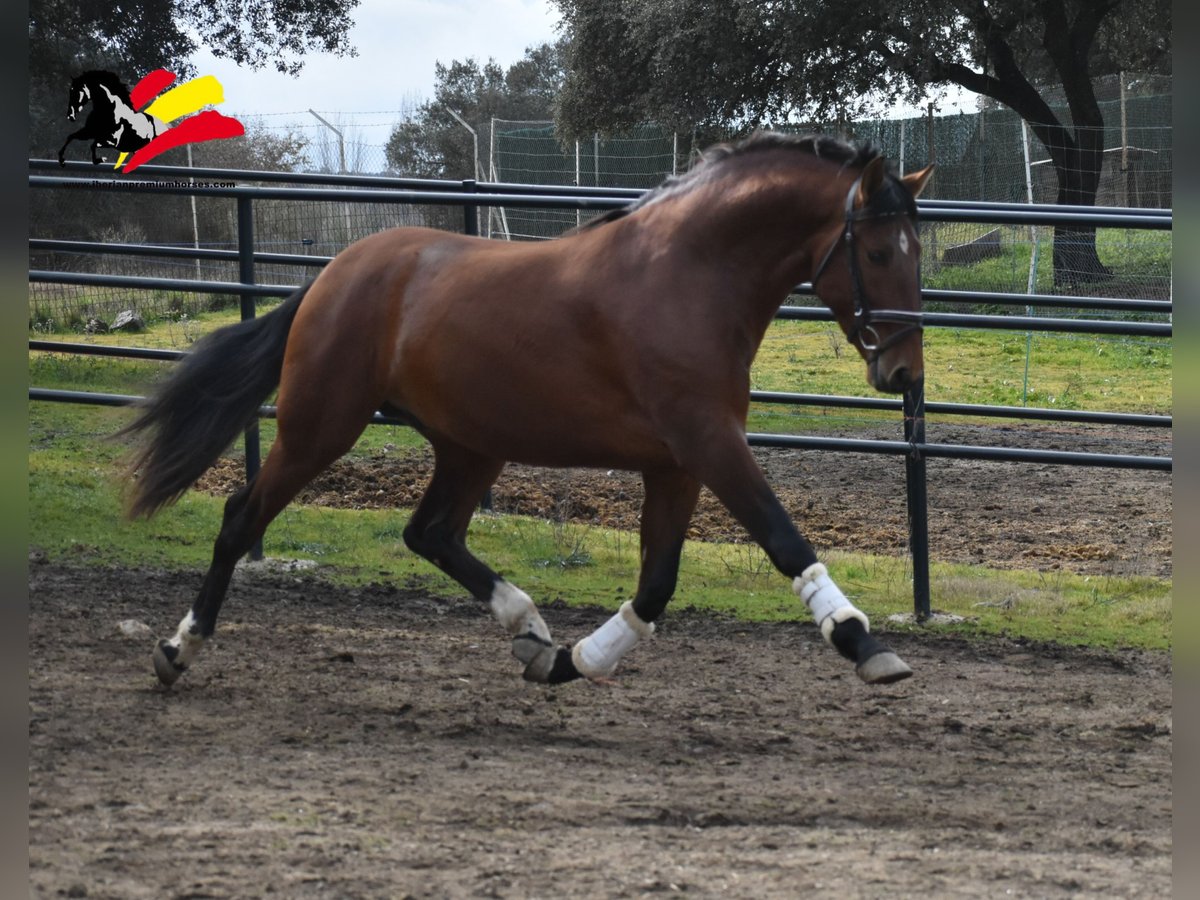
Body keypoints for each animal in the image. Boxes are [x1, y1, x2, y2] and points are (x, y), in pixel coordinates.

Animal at [126, 133, 936, 696]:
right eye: (876, 250)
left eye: (916, 252)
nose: (902, 373)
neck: (686, 276)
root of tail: (332, 276)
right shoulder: (708, 442)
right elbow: (783, 538)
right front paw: (864, 644)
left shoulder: (675, 464)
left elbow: (656, 585)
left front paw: (570, 662)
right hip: (318, 427)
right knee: (241, 519)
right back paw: (177, 650)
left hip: (469, 445)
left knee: (430, 533)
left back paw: (531, 630)